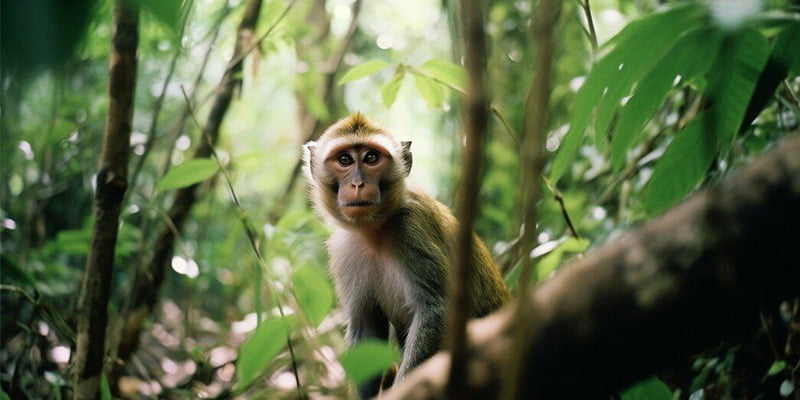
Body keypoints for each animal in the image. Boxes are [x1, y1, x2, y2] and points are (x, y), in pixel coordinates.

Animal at [304, 111, 510, 396]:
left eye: (371, 158)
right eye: (345, 159)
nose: (357, 184)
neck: (375, 231)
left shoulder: (412, 228)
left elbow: (437, 311)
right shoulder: (345, 249)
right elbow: (366, 328)